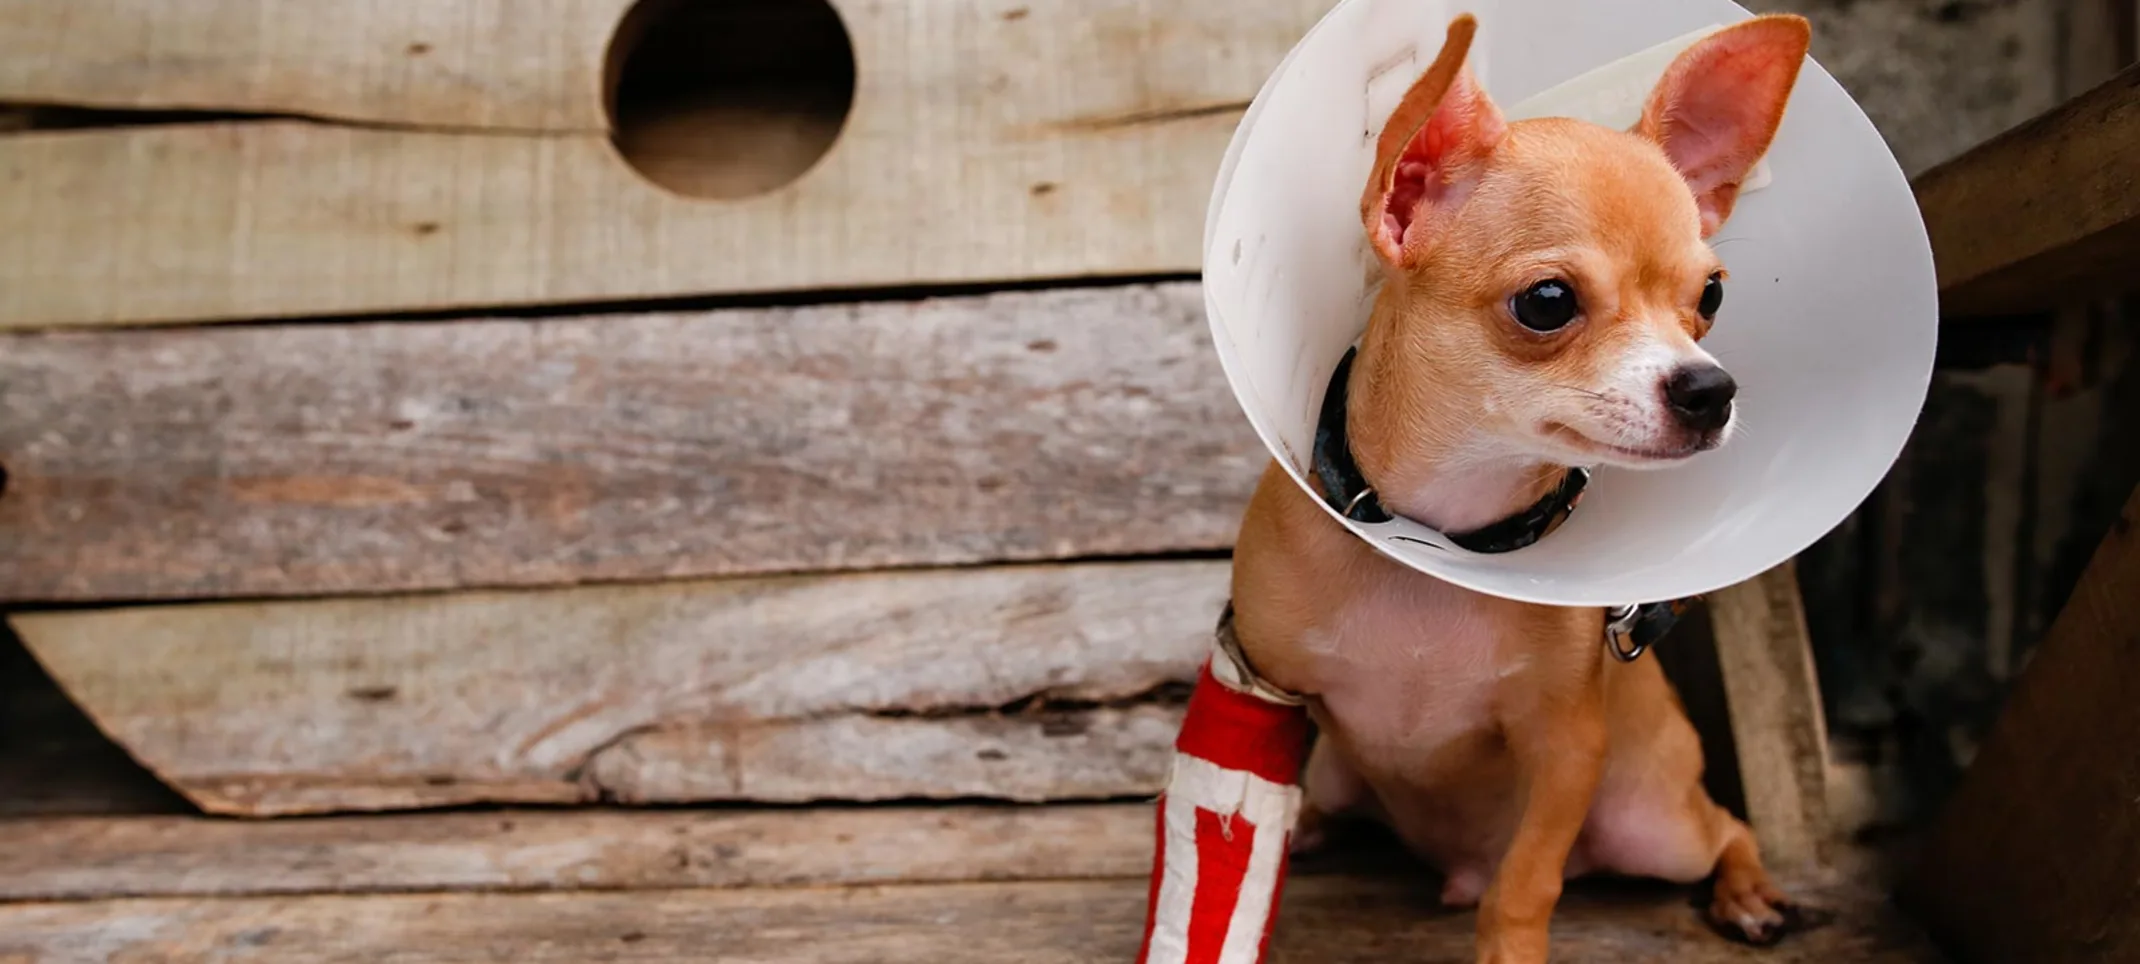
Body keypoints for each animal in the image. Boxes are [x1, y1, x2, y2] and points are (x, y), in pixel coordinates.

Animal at [1232, 13, 1814, 964]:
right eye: (1547, 302)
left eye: (1712, 297)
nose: (1710, 388)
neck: (1438, 539)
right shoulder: (1266, 690)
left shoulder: (1566, 747)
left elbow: (1523, 886)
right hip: (1341, 772)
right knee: (1322, 805)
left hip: (1654, 823)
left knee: (1728, 826)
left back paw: (1750, 893)